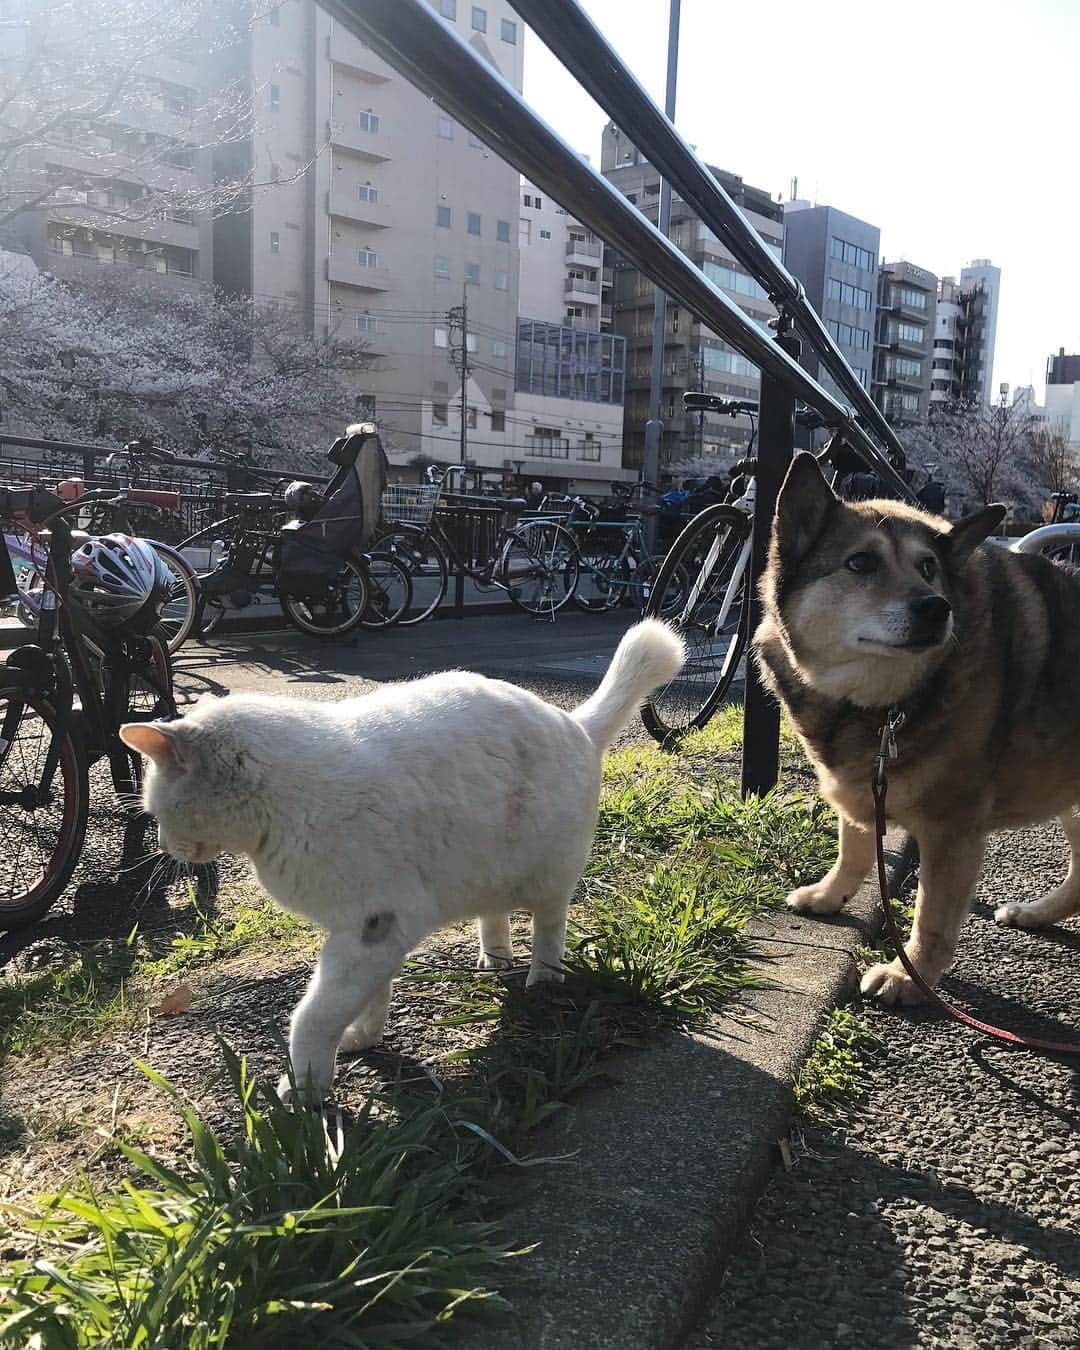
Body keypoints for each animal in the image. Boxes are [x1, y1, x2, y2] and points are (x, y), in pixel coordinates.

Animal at [120, 618, 683, 1096]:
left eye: (155, 811)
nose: (164, 846)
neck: (284, 800)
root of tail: (572, 721)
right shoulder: (363, 934)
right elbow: (368, 997)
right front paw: (363, 1037)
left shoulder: (376, 922)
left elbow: (314, 1017)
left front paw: (304, 1091)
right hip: (482, 868)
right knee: (494, 914)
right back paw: (494, 958)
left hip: (546, 878)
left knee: (549, 927)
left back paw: (541, 980)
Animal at [756, 453, 1080, 1004]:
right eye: (860, 563)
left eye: (929, 568)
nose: (935, 607)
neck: (885, 704)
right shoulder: (861, 779)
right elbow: (853, 847)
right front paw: (830, 894)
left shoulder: (952, 829)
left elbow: (931, 914)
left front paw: (910, 975)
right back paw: (1037, 913)